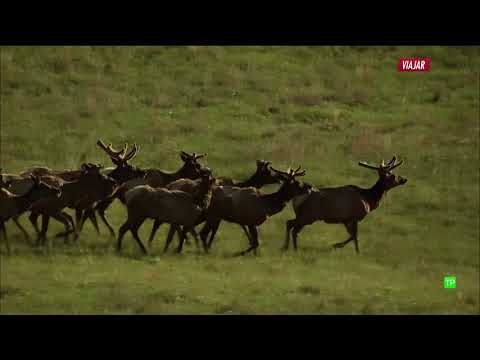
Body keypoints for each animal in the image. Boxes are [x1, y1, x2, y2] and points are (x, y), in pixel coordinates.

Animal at [148, 159, 280, 252]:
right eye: (268, 171)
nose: (278, 179)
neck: (240, 185)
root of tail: (170, 185)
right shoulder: (218, 216)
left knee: (175, 225)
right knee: (171, 224)